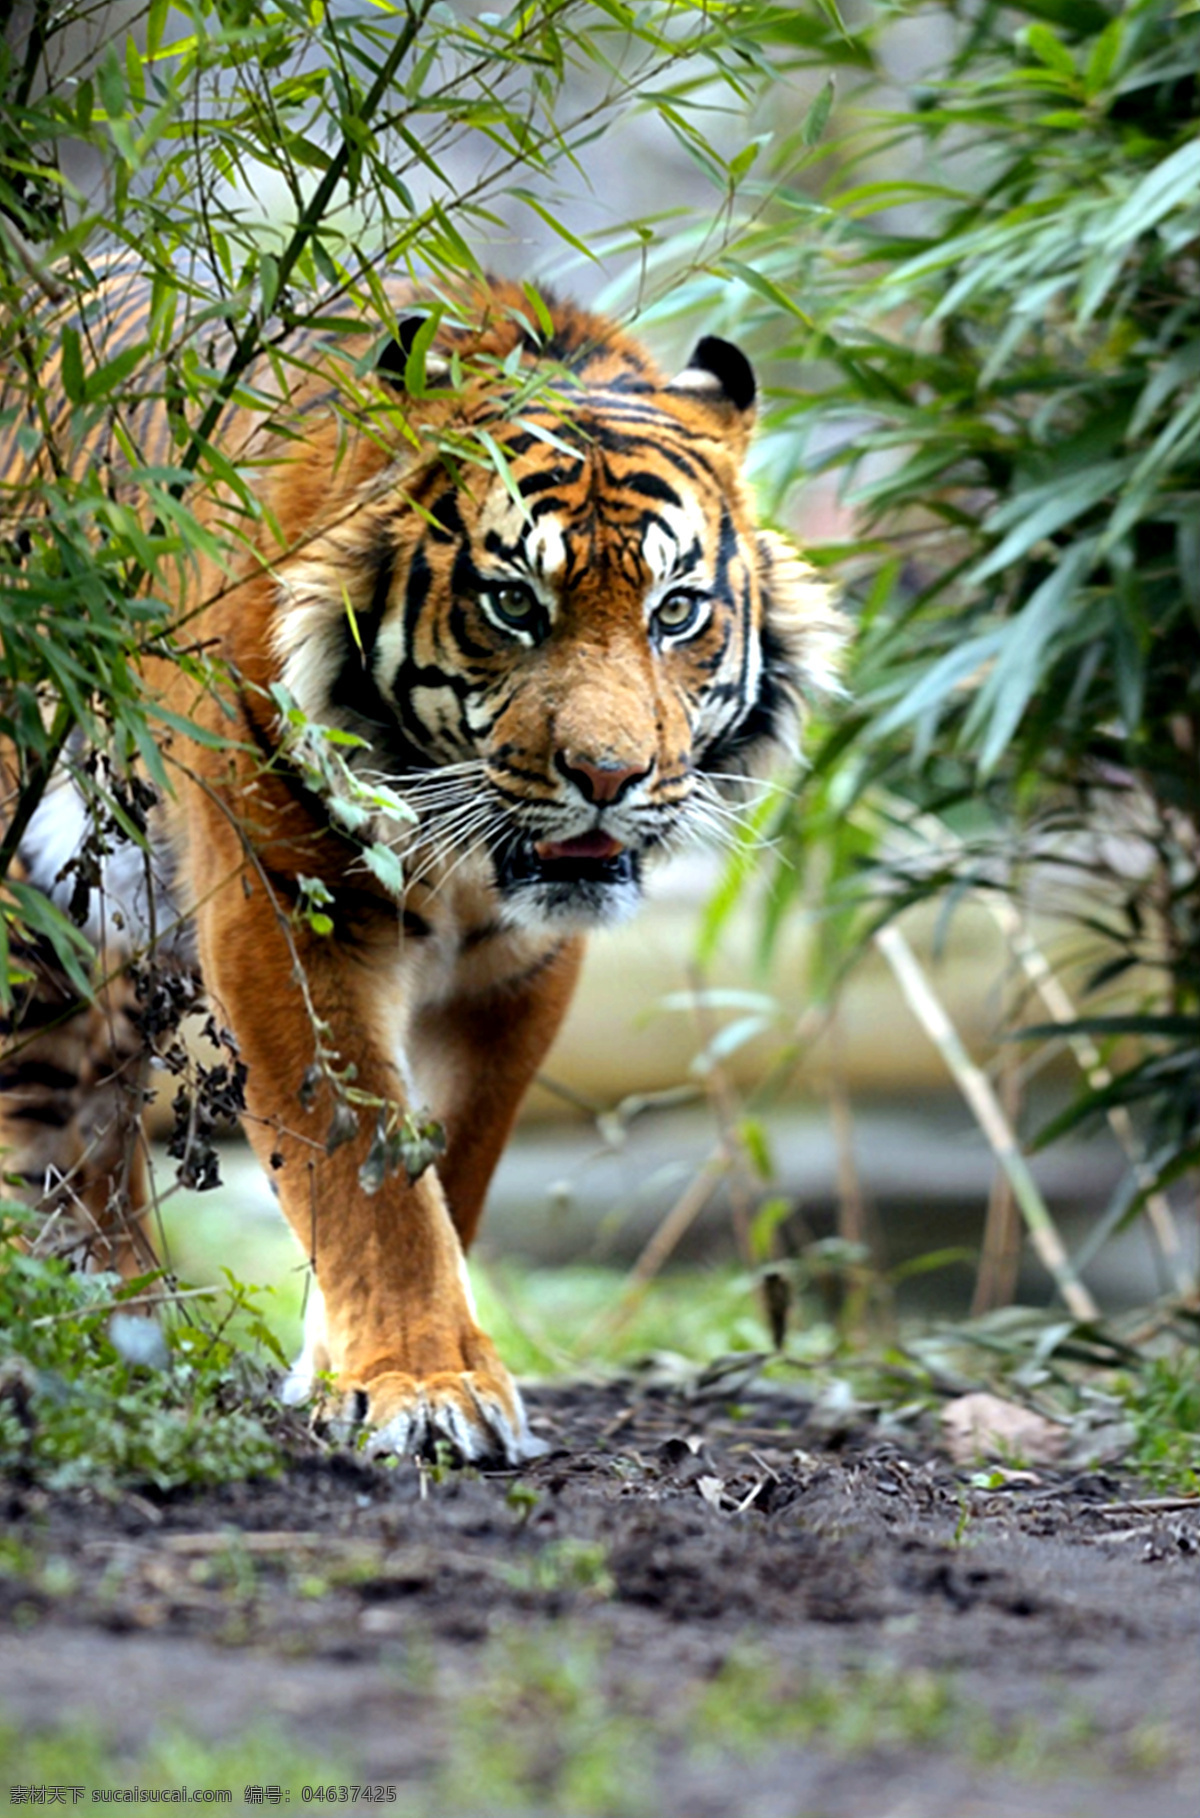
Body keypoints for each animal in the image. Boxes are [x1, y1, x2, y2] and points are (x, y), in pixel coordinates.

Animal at [0, 265, 843, 1461]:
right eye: (514, 603)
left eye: (676, 611)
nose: (609, 775)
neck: (461, 862)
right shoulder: (288, 917)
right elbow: (363, 1163)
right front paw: (423, 1385)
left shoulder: (522, 971)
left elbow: (453, 1160)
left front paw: (345, 1367)